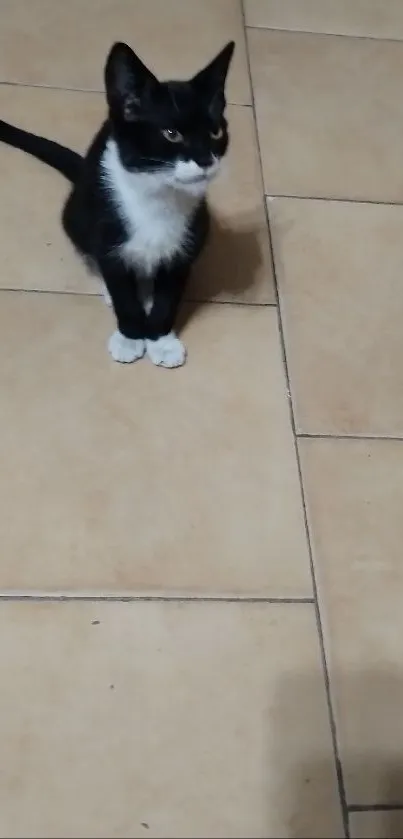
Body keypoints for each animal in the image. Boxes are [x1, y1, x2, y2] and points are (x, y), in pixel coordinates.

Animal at [0, 40, 235, 368]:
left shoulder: (187, 242)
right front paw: (131, 336)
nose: (205, 161)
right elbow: (119, 284)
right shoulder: (107, 232)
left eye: (216, 132)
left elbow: (169, 294)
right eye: (171, 134)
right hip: (77, 214)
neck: (158, 192)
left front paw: (161, 339)